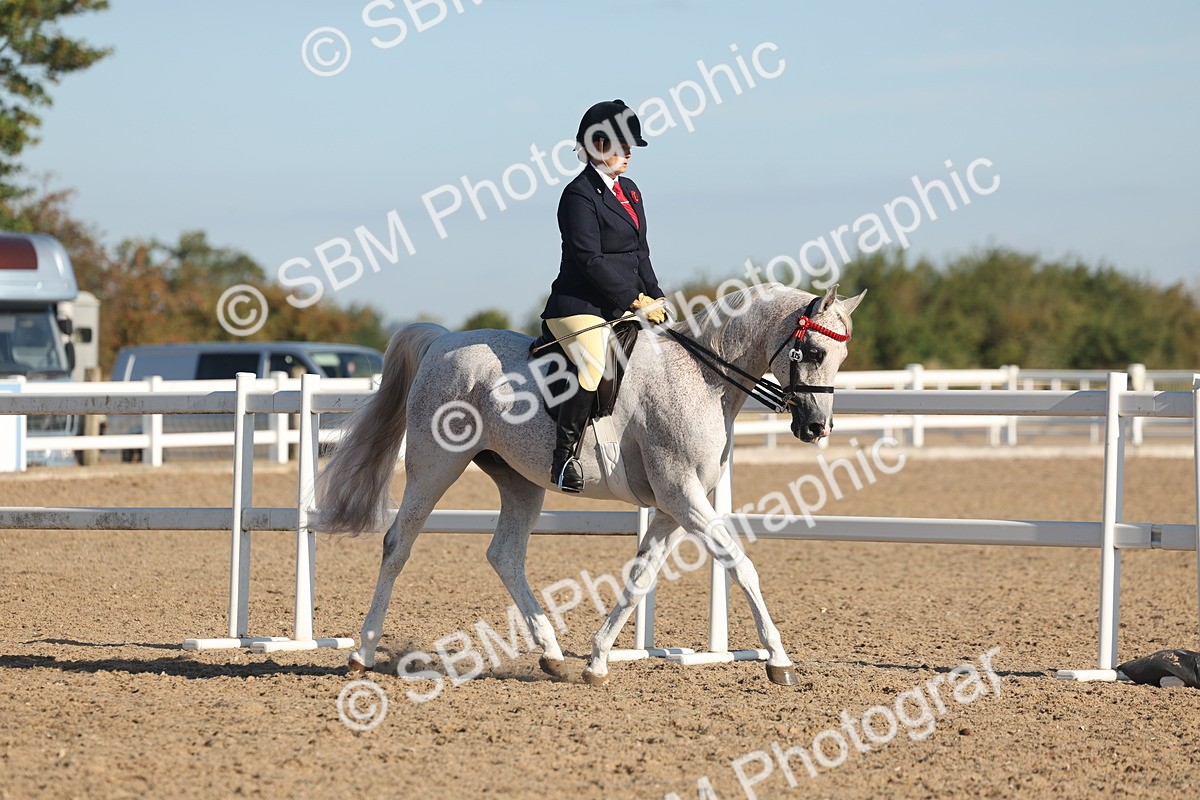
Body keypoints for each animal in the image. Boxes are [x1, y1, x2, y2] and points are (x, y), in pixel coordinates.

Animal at [312, 282, 865, 686]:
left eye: (840, 358)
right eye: (813, 352)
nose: (816, 428)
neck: (702, 377)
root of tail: (442, 341)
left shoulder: (673, 506)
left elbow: (639, 577)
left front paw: (597, 661)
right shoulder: (683, 497)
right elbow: (741, 565)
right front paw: (779, 660)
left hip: (519, 481)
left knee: (504, 554)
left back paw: (553, 655)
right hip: (435, 466)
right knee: (397, 544)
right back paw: (362, 653)